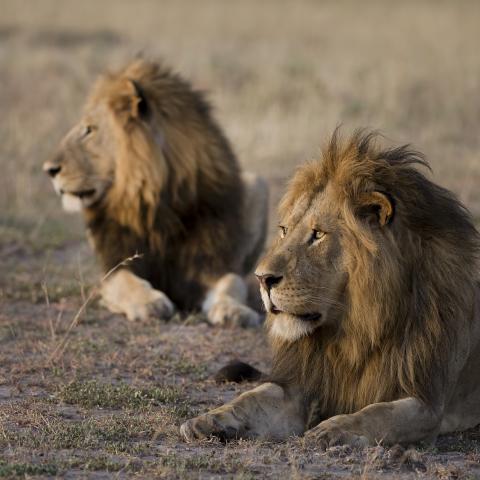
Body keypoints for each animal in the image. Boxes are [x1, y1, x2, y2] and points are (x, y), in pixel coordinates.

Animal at [42, 57, 268, 326]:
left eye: (89, 129)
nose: (49, 169)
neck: (157, 202)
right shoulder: (115, 263)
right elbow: (125, 282)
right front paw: (150, 303)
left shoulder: (210, 261)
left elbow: (231, 283)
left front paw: (234, 311)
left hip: (258, 185)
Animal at [180, 130, 480, 446]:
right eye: (284, 230)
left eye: (318, 234)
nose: (262, 278)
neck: (355, 330)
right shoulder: (299, 386)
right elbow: (252, 397)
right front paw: (208, 419)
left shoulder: (427, 402)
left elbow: (378, 414)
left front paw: (334, 430)